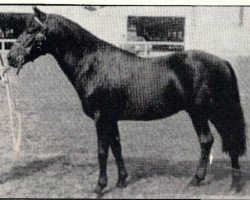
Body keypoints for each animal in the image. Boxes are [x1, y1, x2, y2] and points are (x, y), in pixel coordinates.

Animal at [7, 6, 246, 194]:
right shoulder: (111, 118)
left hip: (202, 112)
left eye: (32, 30)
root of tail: (222, 61)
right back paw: (234, 184)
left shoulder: (101, 118)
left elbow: (102, 151)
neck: (93, 64)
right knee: (229, 138)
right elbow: (116, 147)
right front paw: (121, 181)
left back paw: (199, 180)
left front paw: (100, 187)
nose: (10, 57)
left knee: (209, 140)